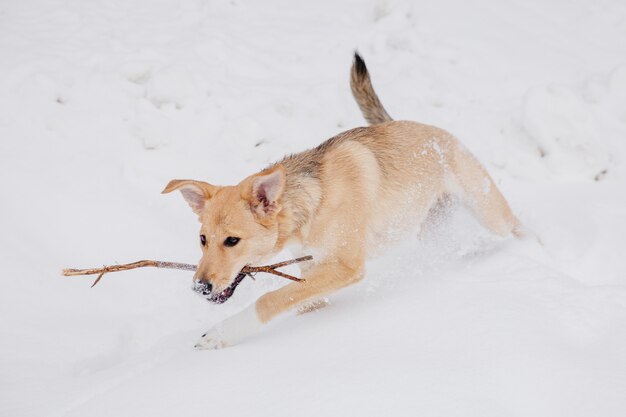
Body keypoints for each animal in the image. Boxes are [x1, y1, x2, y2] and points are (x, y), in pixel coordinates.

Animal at [162, 53, 520, 350]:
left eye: (232, 241)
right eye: (203, 239)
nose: (200, 288)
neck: (313, 205)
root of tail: (427, 130)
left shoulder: (344, 267)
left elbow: (269, 300)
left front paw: (221, 334)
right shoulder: (312, 278)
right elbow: (296, 302)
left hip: (490, 212)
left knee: (515, 228)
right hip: (434, 231)